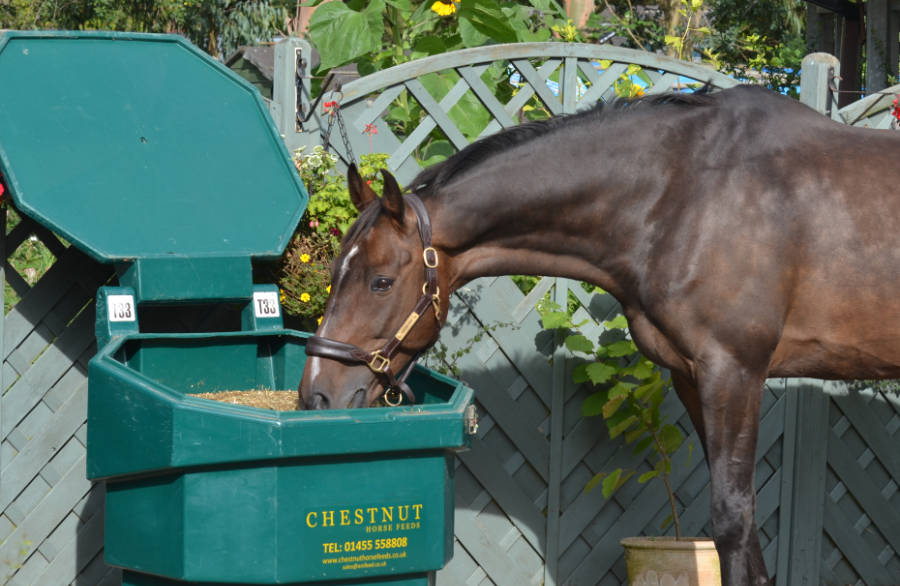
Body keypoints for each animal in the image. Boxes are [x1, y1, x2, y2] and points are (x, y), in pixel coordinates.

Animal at [298, 84, 900, 585]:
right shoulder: (691, 376)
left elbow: (732, 520)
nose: (316, 394)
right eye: (333, 271)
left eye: (380, 281)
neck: (691, 194)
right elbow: (745, 532)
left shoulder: (735, 371)